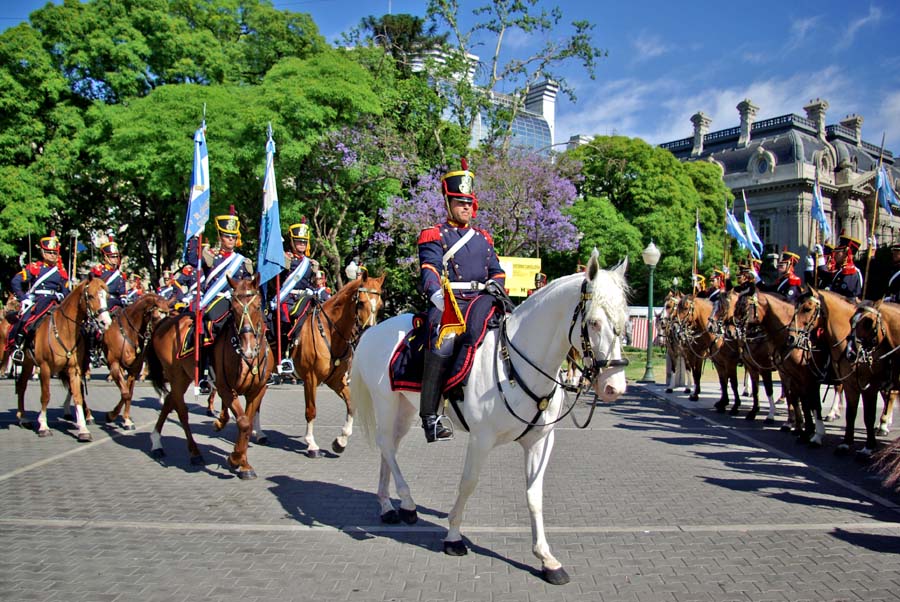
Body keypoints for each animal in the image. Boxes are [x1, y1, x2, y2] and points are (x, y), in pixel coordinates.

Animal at [14, 274, 112, 438]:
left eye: (106, 296)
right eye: (91, 296)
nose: (106, 322)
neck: (65, 329)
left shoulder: (74, 368)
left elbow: (78, 395)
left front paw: (83, 429)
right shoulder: (45, 368)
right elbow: (45, 396)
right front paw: (43, 425)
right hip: (27, 361)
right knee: (21, 386)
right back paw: (23, 418)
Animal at [102, 292, 172, 428]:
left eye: (168, 315)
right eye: (155, 317)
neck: (127, 332)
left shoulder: (134, 369)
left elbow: (128, 393)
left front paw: (125, 418)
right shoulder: (115, 364)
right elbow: (125, 393)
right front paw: (114, 415)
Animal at [286, 270, 384, 458]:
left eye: (381, 305)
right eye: (361, 303)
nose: (368, 333)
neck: (329, 332)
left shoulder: (336, 380)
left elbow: (351, 405)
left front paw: (341, 441)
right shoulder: (310, 379)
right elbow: (311, 410)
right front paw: (311, 444)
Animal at [348, 253, 628, 580]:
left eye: (624, 323)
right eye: (594, 322)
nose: (614, 387)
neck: (517, 362)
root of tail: (374, 330)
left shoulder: (540, 442)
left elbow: (534, 495)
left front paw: (546, 558)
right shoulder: (481, 440)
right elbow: (468, 483)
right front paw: (453, 537)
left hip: (404, 410)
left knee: (388, 446)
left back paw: (388, 507)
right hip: (386, 402)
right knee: (386, 445)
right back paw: (406, 501)